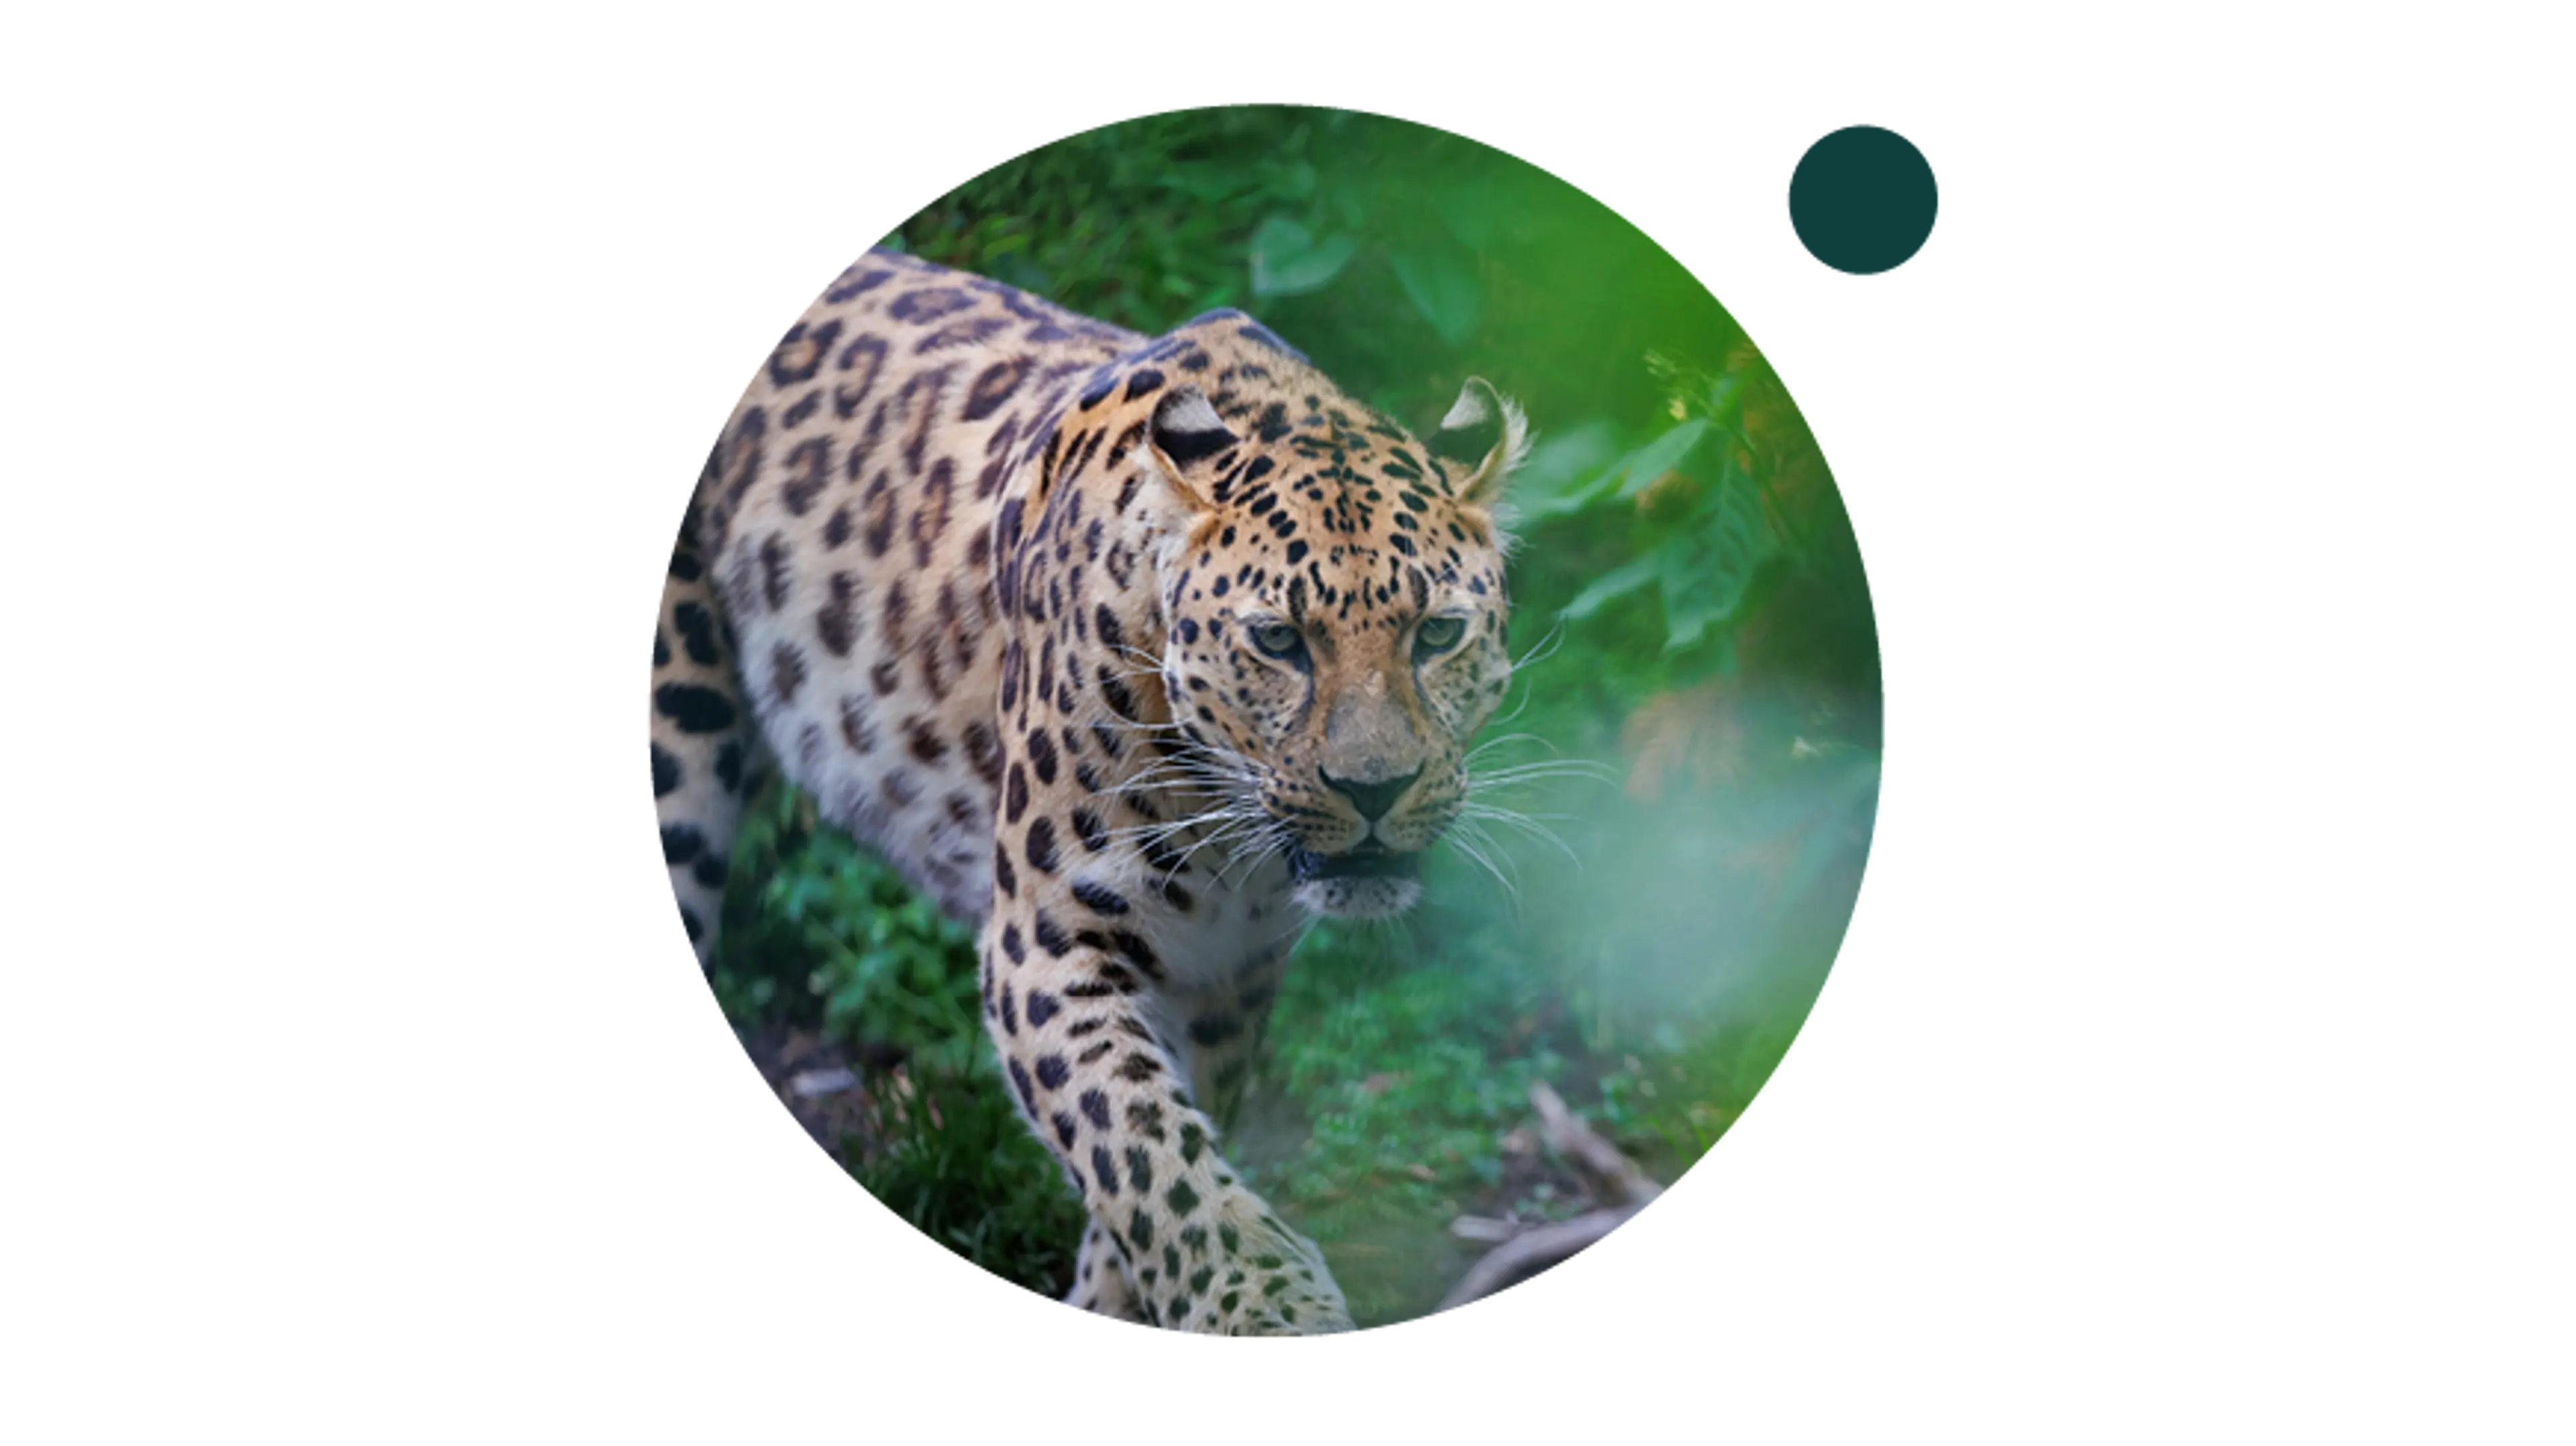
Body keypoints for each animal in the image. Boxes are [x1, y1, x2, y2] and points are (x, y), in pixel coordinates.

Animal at [648, 243, 1529, 1340]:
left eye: (1438, 634)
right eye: (1279, 641)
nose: (1377, 789)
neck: (1221, 826)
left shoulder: (1227, 974)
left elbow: (1153, 1154)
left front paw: (1124, 1298)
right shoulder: (1046, 937)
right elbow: (1144, 1144)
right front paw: (1265, 1305)